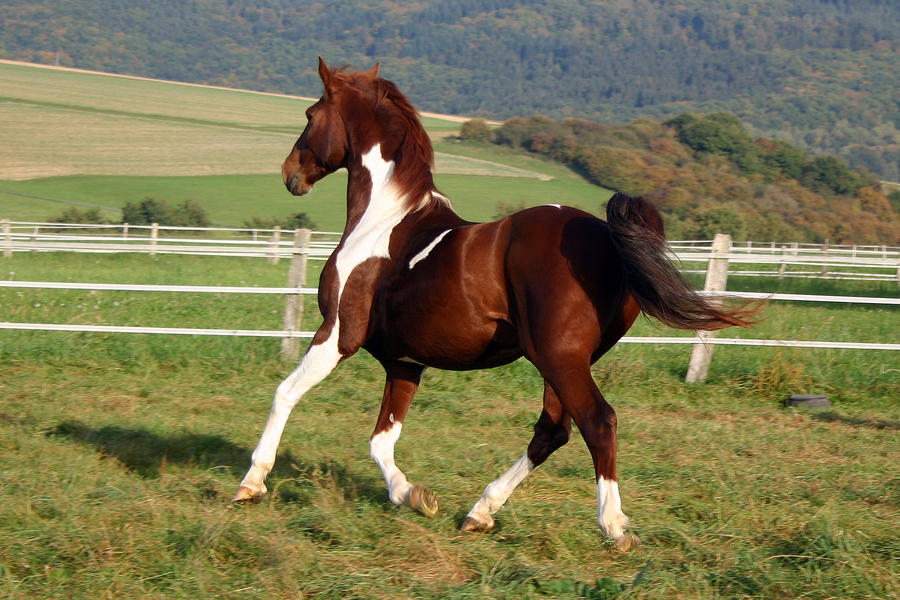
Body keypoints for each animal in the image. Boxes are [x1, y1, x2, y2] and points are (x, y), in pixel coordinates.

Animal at [232, 58, 752, 552]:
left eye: (310, 114)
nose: (291, 175)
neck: (384, 221)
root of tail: (606, 237)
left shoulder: (338, 335)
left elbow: (285, 393)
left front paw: (251, 483)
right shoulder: (405, 363)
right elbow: (382, 440)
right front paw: (414, 496)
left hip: (560, 359)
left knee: (597, 422)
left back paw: (613, 527)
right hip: (563, 360)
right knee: (552, 430)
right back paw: (480, 512)